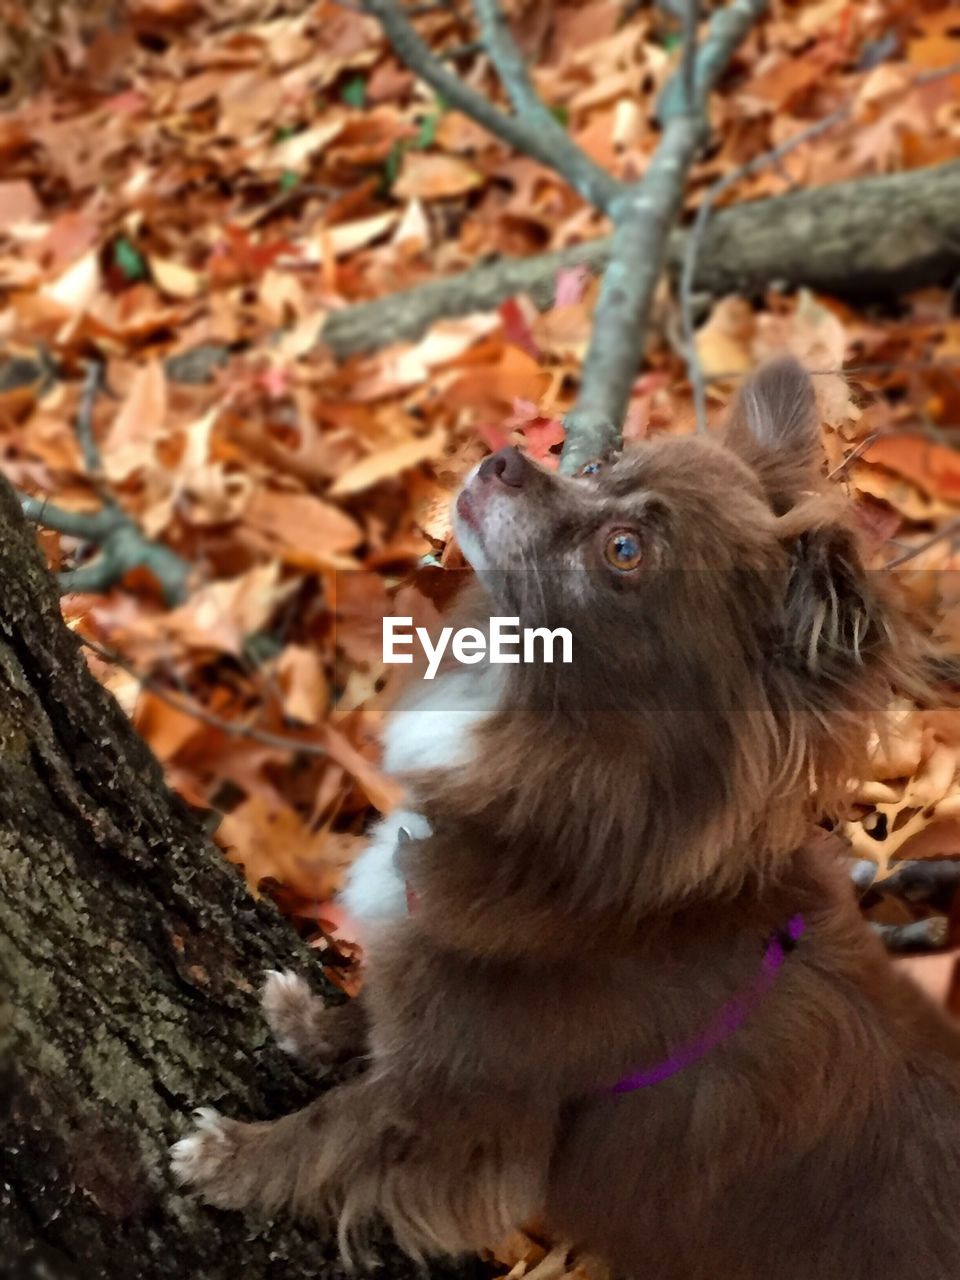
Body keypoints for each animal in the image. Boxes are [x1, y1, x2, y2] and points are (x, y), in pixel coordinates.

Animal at [171, 360, 960, 1280]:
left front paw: (232, 1157)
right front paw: (311, 1024)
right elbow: (381, 1006)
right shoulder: (430, 986)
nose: (508, 458)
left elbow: (339, 1128)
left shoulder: (460, 1105)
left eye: (624, 551)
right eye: (594, 464)